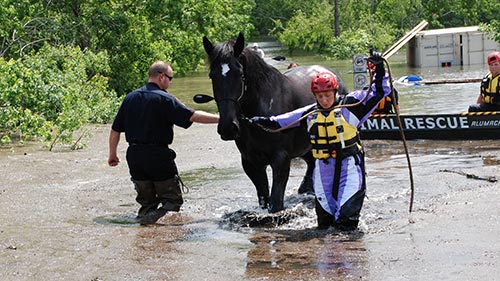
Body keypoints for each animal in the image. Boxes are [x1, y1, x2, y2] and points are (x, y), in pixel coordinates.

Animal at [201, 32, 346, 212]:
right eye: (212, 75)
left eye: (239, 74)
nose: (228, 128)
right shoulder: (250, 162)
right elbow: (264, 195)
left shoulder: (280, 158)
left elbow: (276, 202)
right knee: (312, 163)